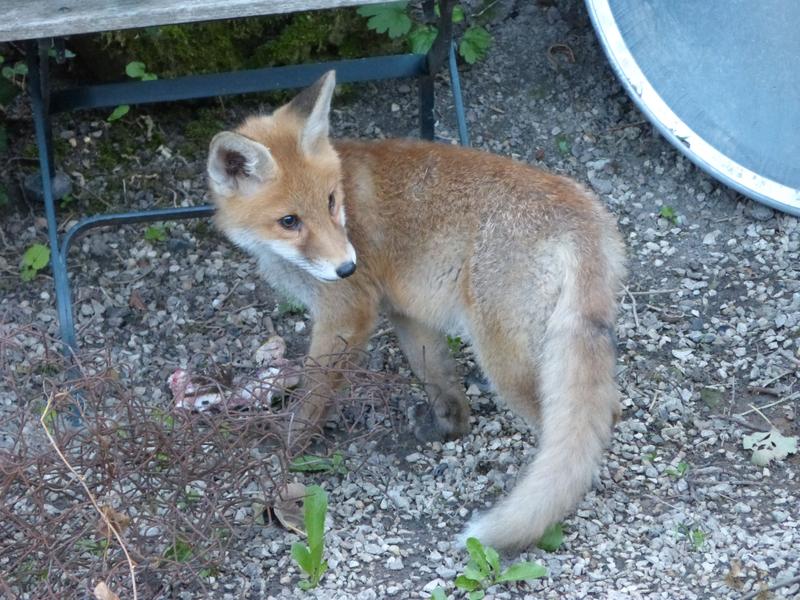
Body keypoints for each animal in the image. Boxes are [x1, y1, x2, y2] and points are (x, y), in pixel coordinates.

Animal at [206, 70, 624, 548]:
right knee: (607, 408)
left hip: (509, 361)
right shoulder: (406, 312)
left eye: (331, 201)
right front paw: (450, 427)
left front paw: (285, 451)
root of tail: (582, 216)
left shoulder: (348, 312)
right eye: (289, 221)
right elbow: (437, 375)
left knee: (575, 431)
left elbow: (311, 398)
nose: (347, 267)